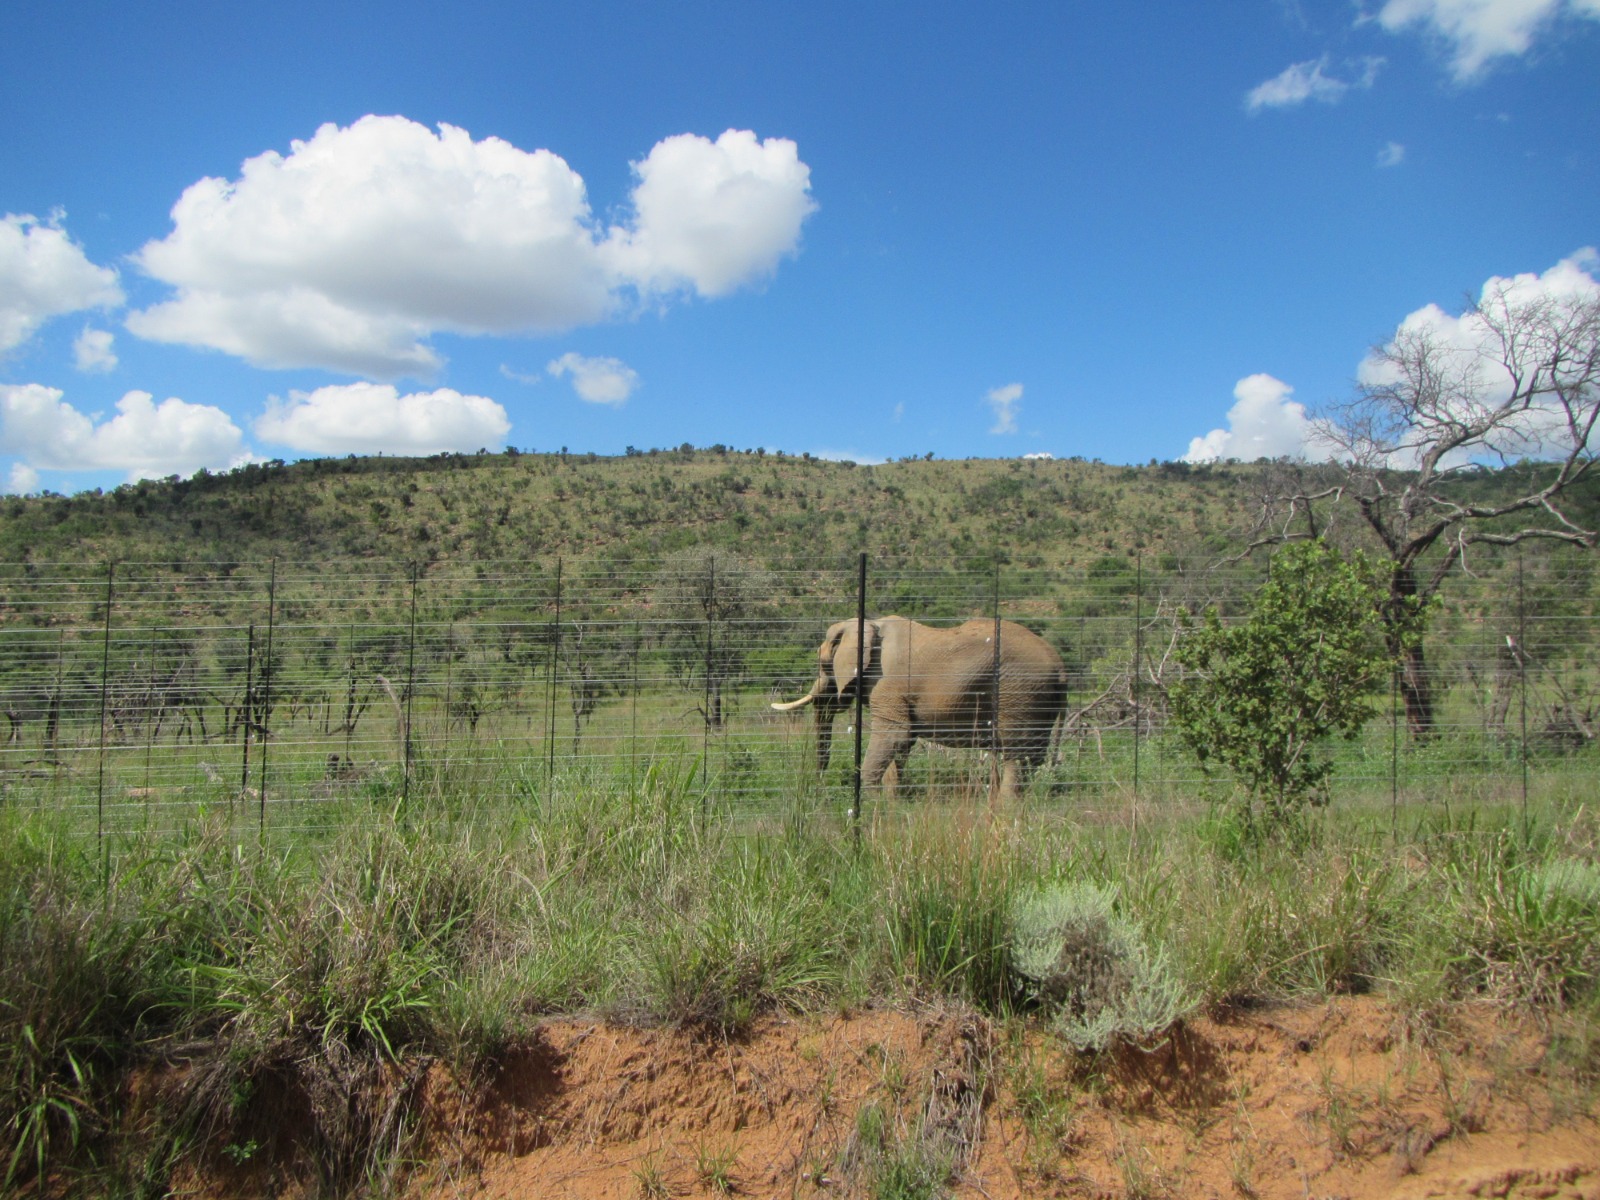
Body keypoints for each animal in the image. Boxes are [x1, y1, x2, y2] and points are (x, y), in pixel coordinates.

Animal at [772, 616, 1068, 802]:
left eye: (824, 664)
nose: (818, 788)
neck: (867, 623)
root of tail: (1060, 667)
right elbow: (904, 742)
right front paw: (893, 800)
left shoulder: (887, 683)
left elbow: (895, 735)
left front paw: (873, 801)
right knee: (1031, 755)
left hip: (1019, 691)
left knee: (1015, 753)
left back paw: (1006, 804)